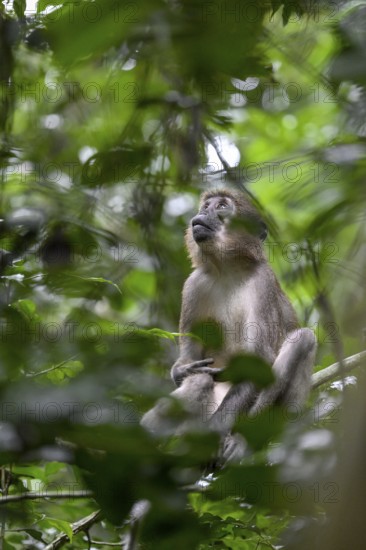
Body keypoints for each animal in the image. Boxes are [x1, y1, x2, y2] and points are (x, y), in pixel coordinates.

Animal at [142, 191, 316, 466]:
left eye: (222, 206)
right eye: (206, 205)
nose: (202, 213)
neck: (226, 270)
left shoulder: (263, 280)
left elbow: (259, 362)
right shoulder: (193, 284)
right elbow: (190, 360)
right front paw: (181, 370)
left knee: (303, 338)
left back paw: (242, 441)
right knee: (200, 381)